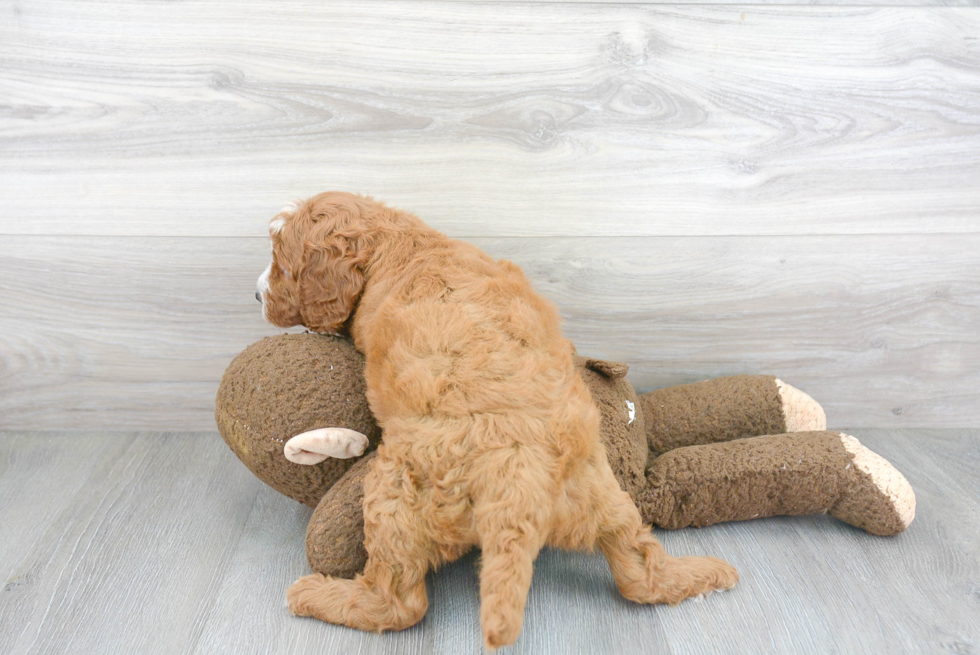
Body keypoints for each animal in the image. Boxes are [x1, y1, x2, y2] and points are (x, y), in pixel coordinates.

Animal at [258, 192, 736, 648]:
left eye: (281, 263)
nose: (257, 295)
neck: (401, 240)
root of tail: (518, 488)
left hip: (394, 493)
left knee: (400, 603)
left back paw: (318, 595)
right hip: (605, 496)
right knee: (639, 570)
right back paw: (706, 575)